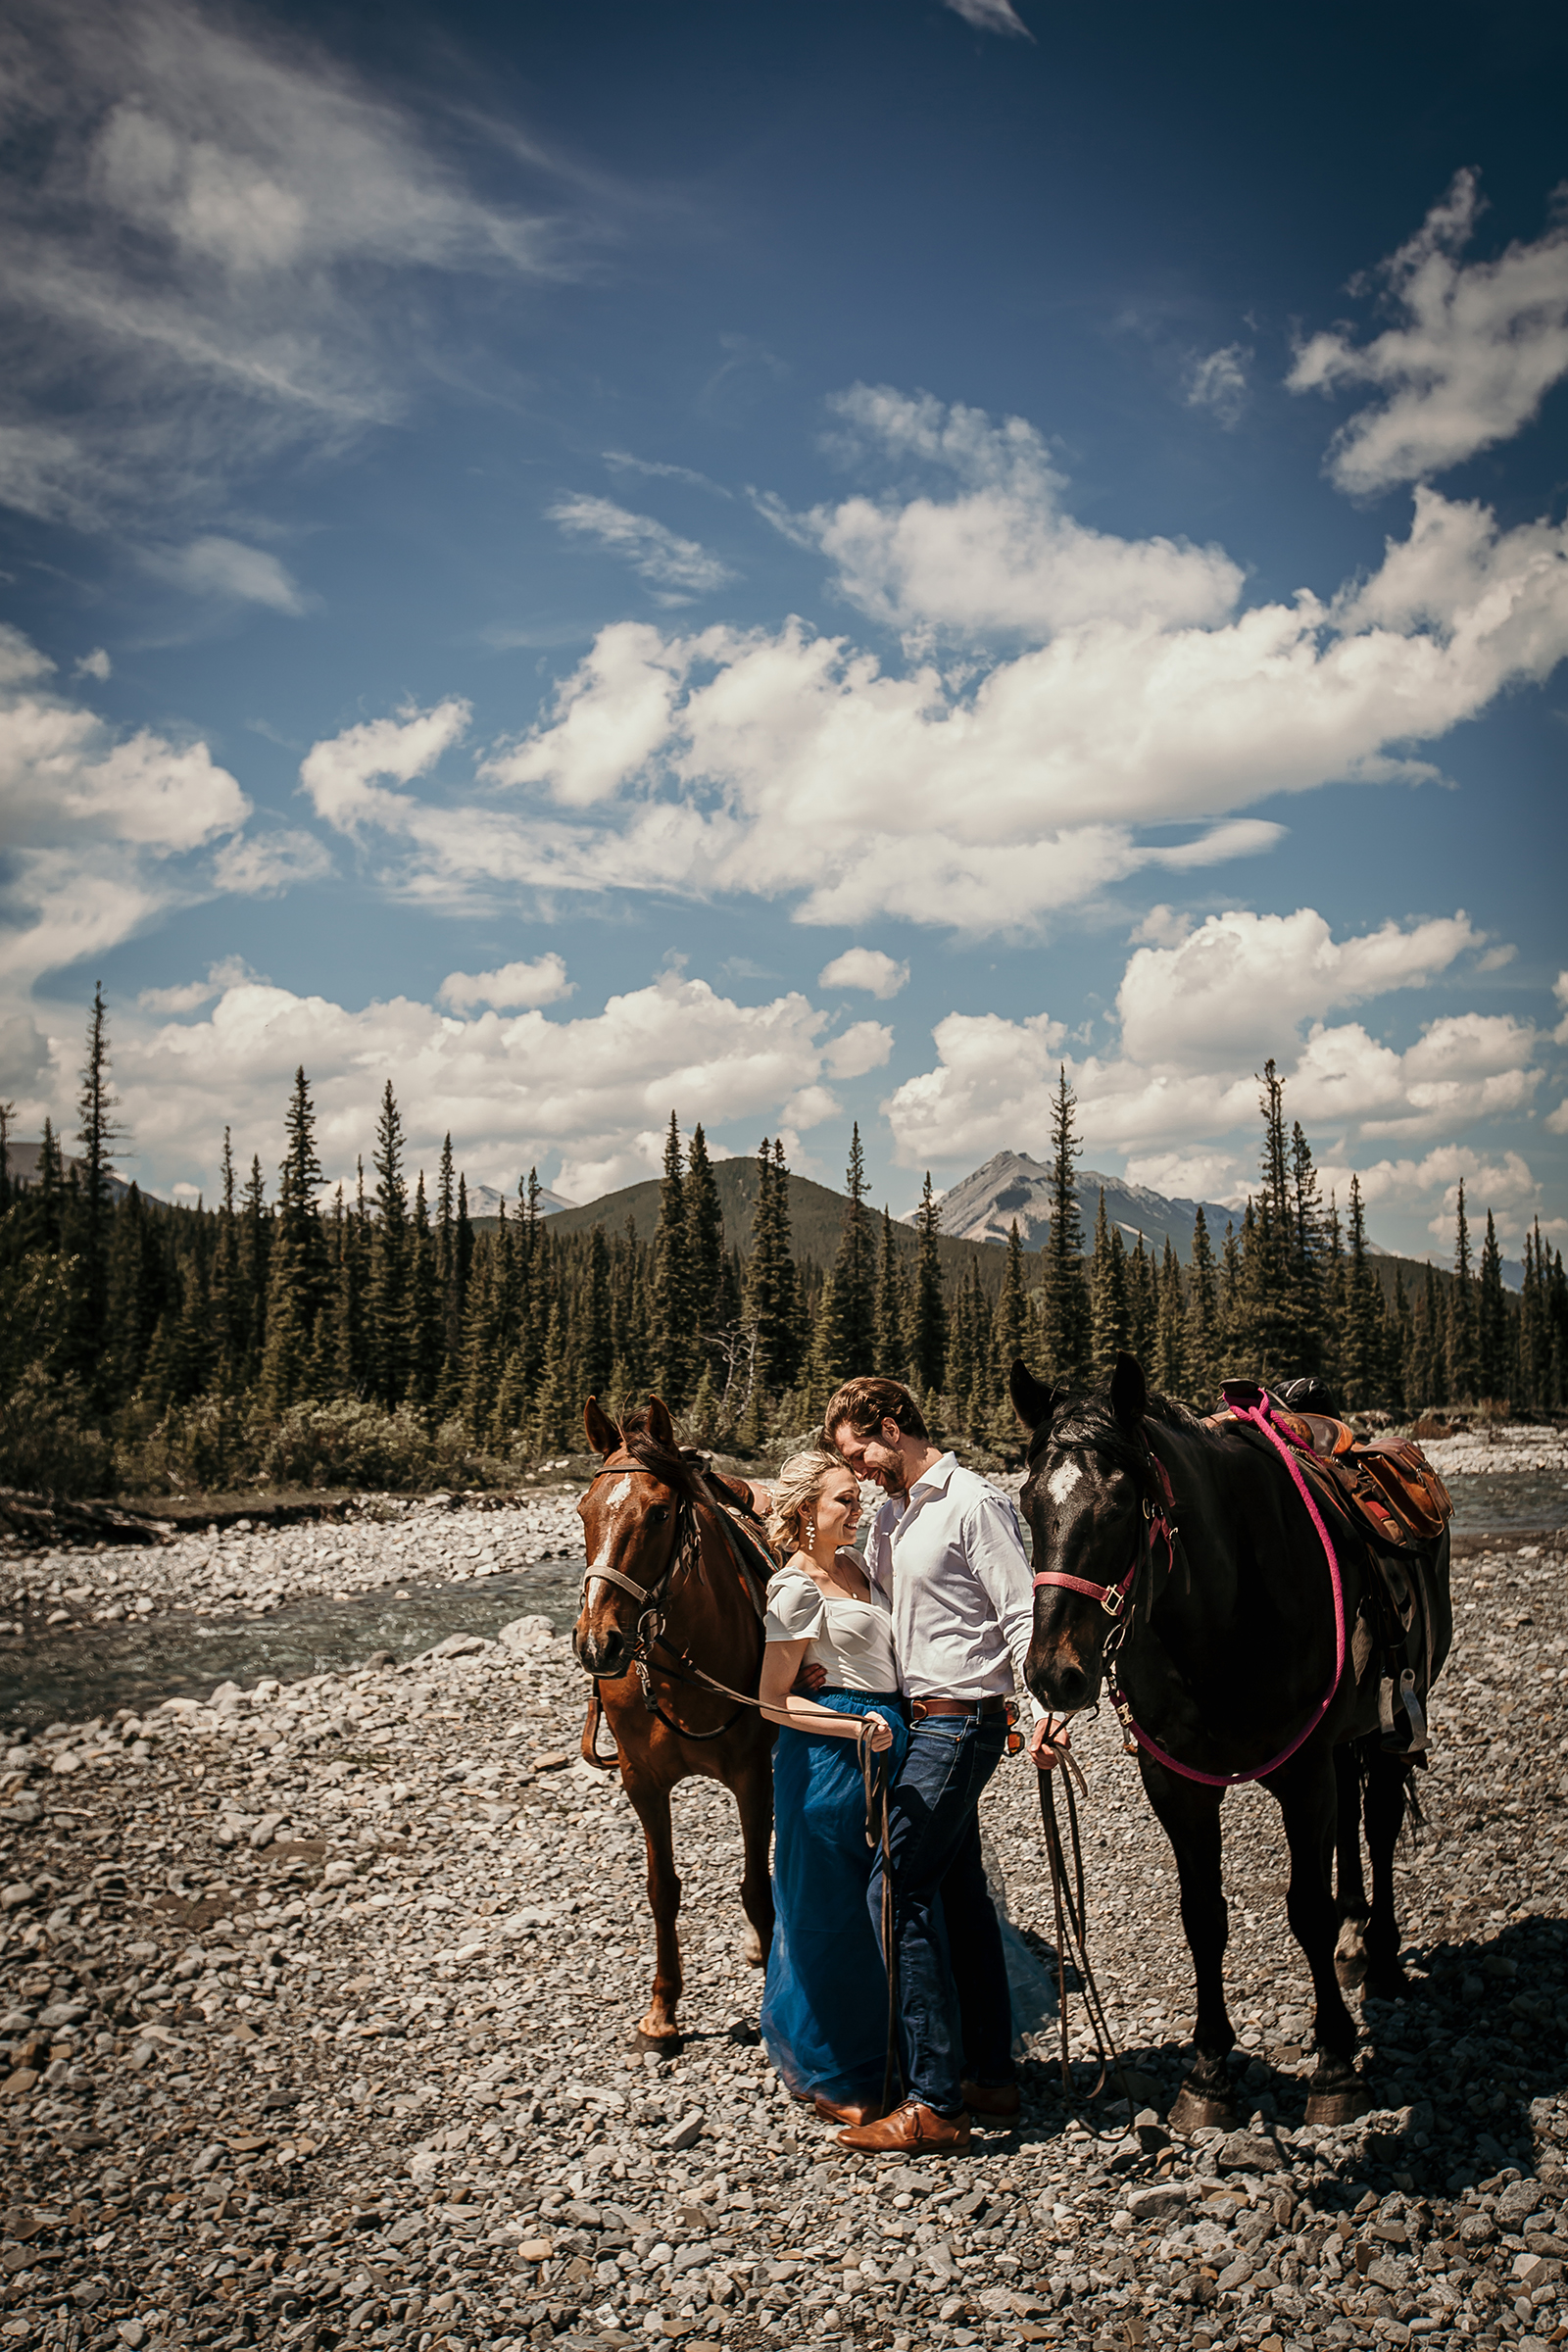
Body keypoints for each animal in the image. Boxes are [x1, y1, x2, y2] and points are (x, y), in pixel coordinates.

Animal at [573, 1401, 775, 2050]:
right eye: (582, 1511)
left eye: (660, 1512)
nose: (598, 1644)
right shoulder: (642, 1780)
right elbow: (662, 1890)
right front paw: (661, 2014)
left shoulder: (751, 1775)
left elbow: (756, 1886)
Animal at [1010, 1345, 1457, 2135]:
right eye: (1030, 1505)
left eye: (1120, 1507)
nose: (1053, 1674)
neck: (1223, 1610)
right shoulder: (1179, 1783)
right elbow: (1203, 1917)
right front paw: (1210, 2073)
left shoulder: (1303, 1771)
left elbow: (1305, 1908)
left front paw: (1335, 2066)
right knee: (1352, 1823)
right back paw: (1355, 1940)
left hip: (1388, 1723)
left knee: (1377, 1826)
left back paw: (1379, 1958)